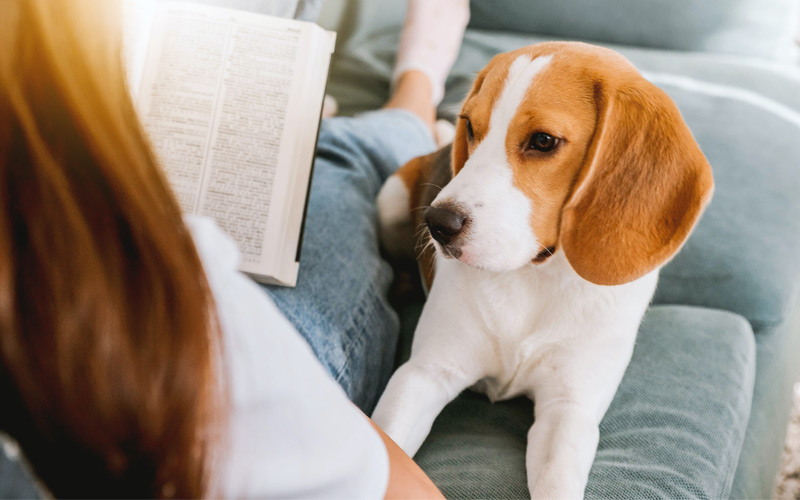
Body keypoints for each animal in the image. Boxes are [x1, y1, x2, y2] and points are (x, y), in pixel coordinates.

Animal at [372, 41, 716, 498]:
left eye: (543, 141)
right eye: (470, 126)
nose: (437, 223)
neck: (535, 276)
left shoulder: (568, 411)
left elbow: (557, 482)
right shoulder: (423, 374)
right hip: (391, 199)